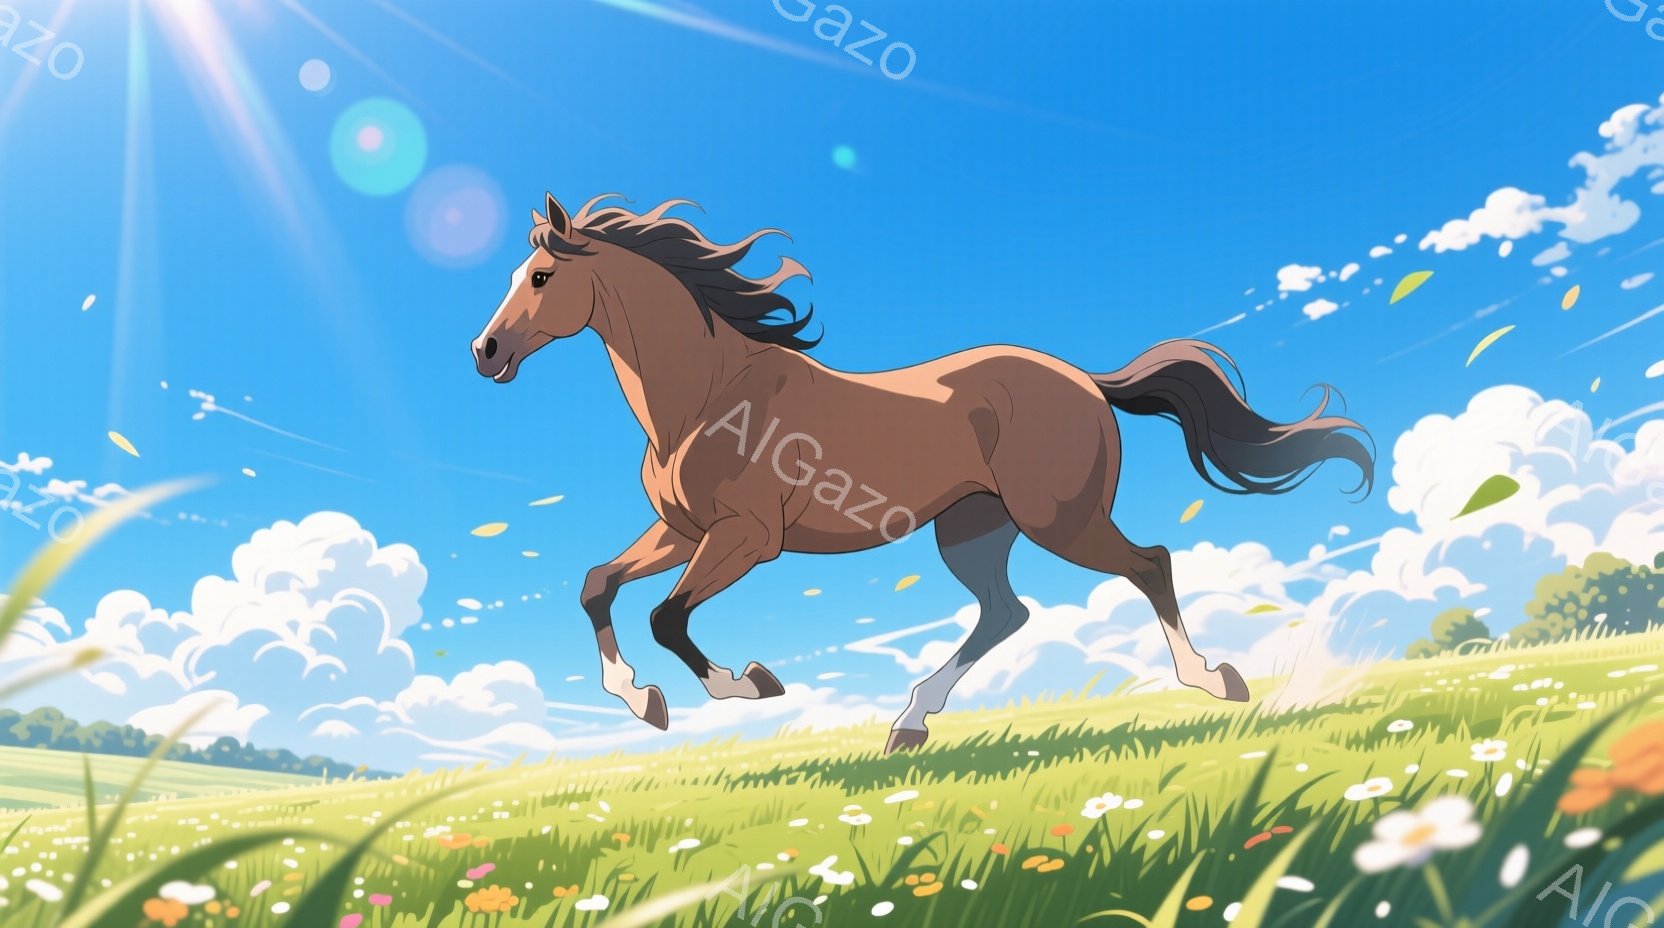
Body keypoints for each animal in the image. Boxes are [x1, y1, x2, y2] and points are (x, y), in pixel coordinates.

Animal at [471, 192, 1373, 754]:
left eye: (541, 277)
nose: (485, 352)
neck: (706, 396)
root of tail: (1086, 381)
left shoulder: (747, 538)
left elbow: (667, 617)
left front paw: (749, 685)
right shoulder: (680, 530)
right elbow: (597, 586)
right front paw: (644, 701)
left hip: (1060, 520)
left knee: (1148, 564)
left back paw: (1215, 680)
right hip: (972, 529)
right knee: (1007, 612)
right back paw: (909, 723)